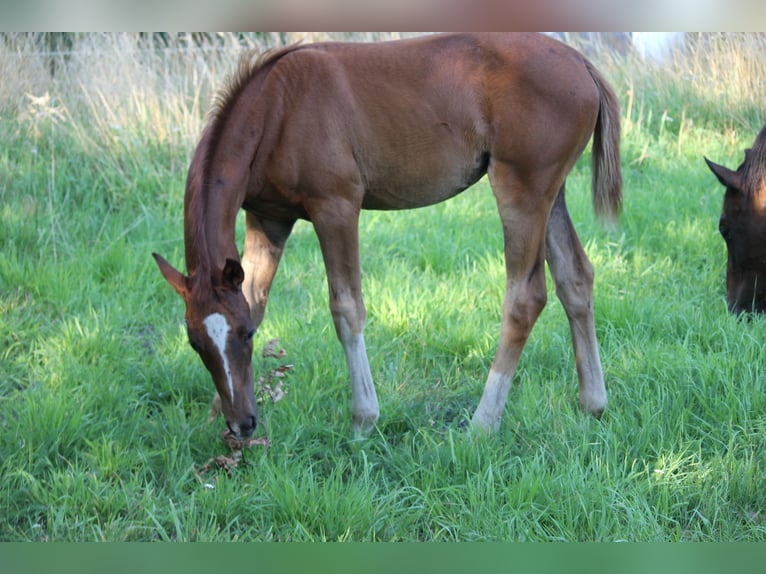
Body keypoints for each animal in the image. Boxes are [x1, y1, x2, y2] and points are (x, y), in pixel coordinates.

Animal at [154, 33, 624, 440]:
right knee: (575, 278)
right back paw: (593, 404)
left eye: (246, 337)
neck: (275, 108)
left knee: (525, 298)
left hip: (521, 189)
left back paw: (482, 424)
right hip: (552, 193)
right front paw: (218, 411)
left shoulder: (336, 207)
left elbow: (346, 308)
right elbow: (254, 298)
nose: (243, 425)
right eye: (195, 342)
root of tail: (581, 63)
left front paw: (364, 419)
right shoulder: (269, 218)